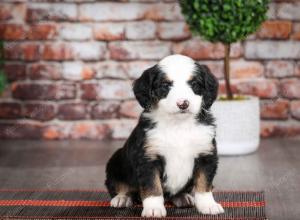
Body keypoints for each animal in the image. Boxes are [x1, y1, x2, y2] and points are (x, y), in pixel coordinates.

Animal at [104, 54, 224, 217]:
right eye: (165, 85)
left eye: (194, 84)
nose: (183, 104)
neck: (178, 125)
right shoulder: (148, 158)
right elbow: (152, 187)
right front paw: (153, 209)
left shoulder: (206, 155)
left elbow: (204, 184)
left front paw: (208, 205)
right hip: (115, 162)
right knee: (119, 185)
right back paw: (122, 198)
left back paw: (183, 197)